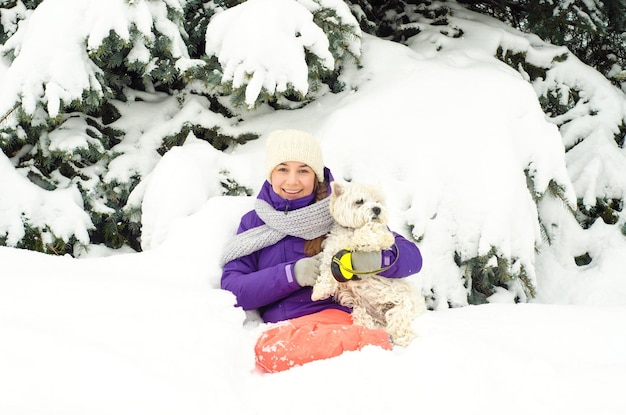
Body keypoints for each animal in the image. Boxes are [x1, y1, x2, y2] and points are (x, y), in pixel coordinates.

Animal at [312, 182, 424, 348]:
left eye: (378, 201)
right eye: (359, 201)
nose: (377, 209)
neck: (352, 230)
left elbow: (375, 234)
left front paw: (365, 238)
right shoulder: (331, 255)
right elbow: (326, 272)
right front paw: (319, 292)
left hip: (403, 304)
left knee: (399, 324)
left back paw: (403, 338)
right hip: (359, 308)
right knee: (367, 320)